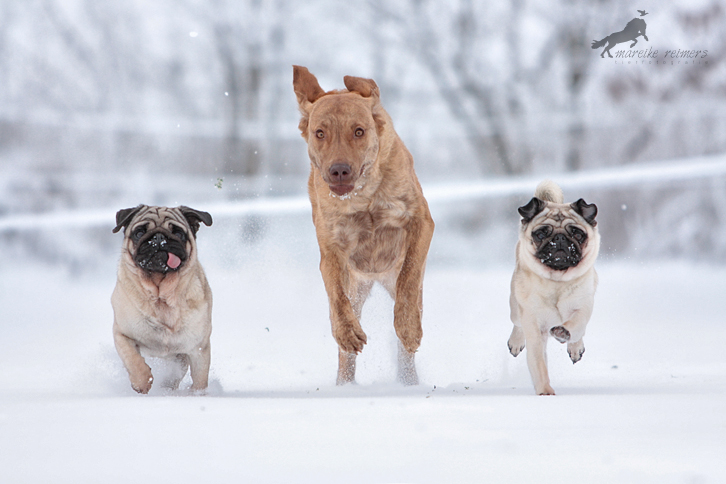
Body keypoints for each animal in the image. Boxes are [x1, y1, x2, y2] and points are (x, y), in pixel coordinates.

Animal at [292, 67, 436, 386]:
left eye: (359, 131)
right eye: (320, 133)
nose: (339, 170)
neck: (364, 196)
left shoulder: (421, 222)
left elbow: (409, 278)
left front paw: (408, 328)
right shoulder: (331, 249)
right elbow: (336, 294)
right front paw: (347, 333)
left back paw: (408, 381)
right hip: (356, 286)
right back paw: (345, 385)